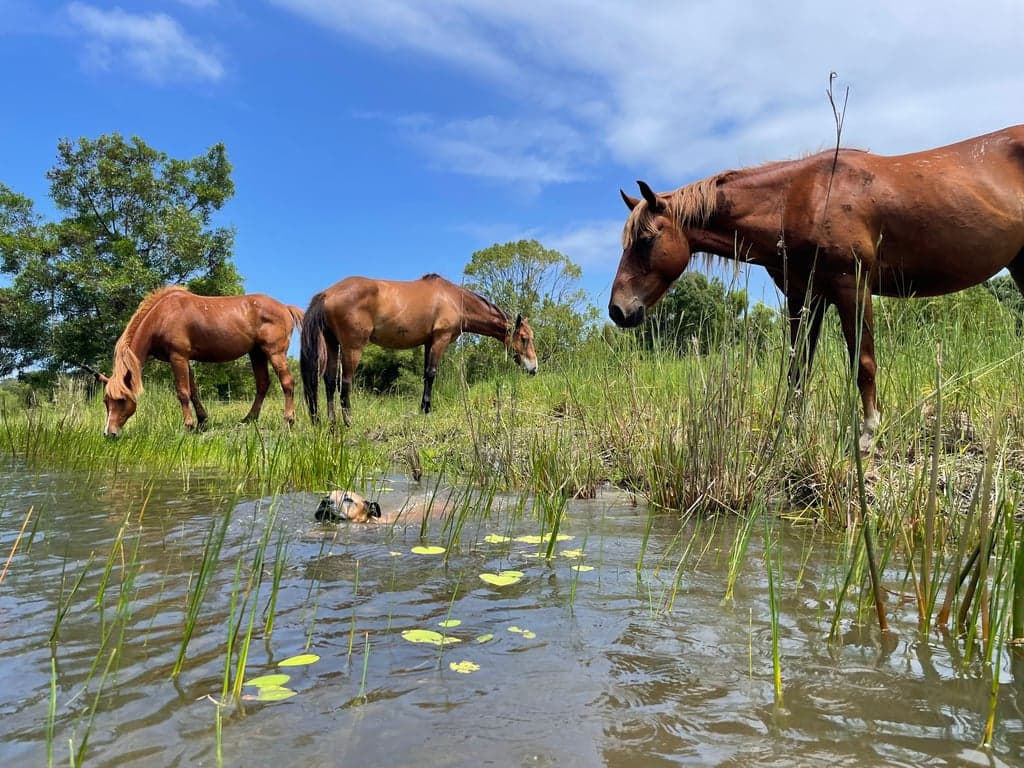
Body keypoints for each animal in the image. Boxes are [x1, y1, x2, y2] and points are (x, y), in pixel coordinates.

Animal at [95, 286, 304, 436]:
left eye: (122, 400)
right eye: (106, 401)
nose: (109, 433)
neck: (162, 315)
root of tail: (285, 307)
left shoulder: (178, 356)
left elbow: (183, 392)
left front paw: (188, 425)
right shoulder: (184, 359)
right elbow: (193, 391)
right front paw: (202, 421)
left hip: (274, 352)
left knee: (287, 383)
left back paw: (287, 421)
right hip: (257, 354)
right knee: (262, 384)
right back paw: (249, 419)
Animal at [300, 273, 538, 426]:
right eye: (524, 338)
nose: (534, 368)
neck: (454, 299)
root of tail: (328, 294)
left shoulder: (428, 342)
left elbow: (425, 375)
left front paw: (423, 408)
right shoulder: (440, 339)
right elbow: (432, 374)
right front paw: (427, 410)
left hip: (332, 344)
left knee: (330, 381)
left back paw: (331, 423)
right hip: (352, 347)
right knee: (345, 383)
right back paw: (348, 421)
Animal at [608, 125, 1024, 453]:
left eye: (646, 239)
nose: (618, 310)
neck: (802, 198)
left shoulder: (852, 287)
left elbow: (863, 361)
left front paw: (868, 433)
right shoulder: (805, 298)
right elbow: (798, 369)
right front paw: (787, 432)